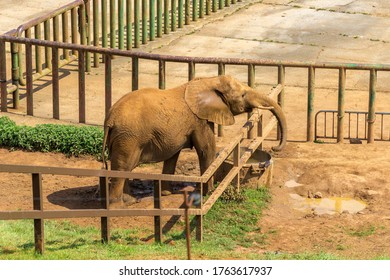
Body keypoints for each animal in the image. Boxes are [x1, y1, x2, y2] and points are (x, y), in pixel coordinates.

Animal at [102, 74, 288, 206]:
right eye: (242, 95)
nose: (275, 149)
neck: (209, 81)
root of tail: (109, 120)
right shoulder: (199, 120)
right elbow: (207, 150)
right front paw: (209, 192)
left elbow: (173, 155)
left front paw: (166, 194)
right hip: (128, 137)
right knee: (123, 167)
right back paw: (118, 206)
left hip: (124, 138)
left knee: (124, 167)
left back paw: (130, 201)